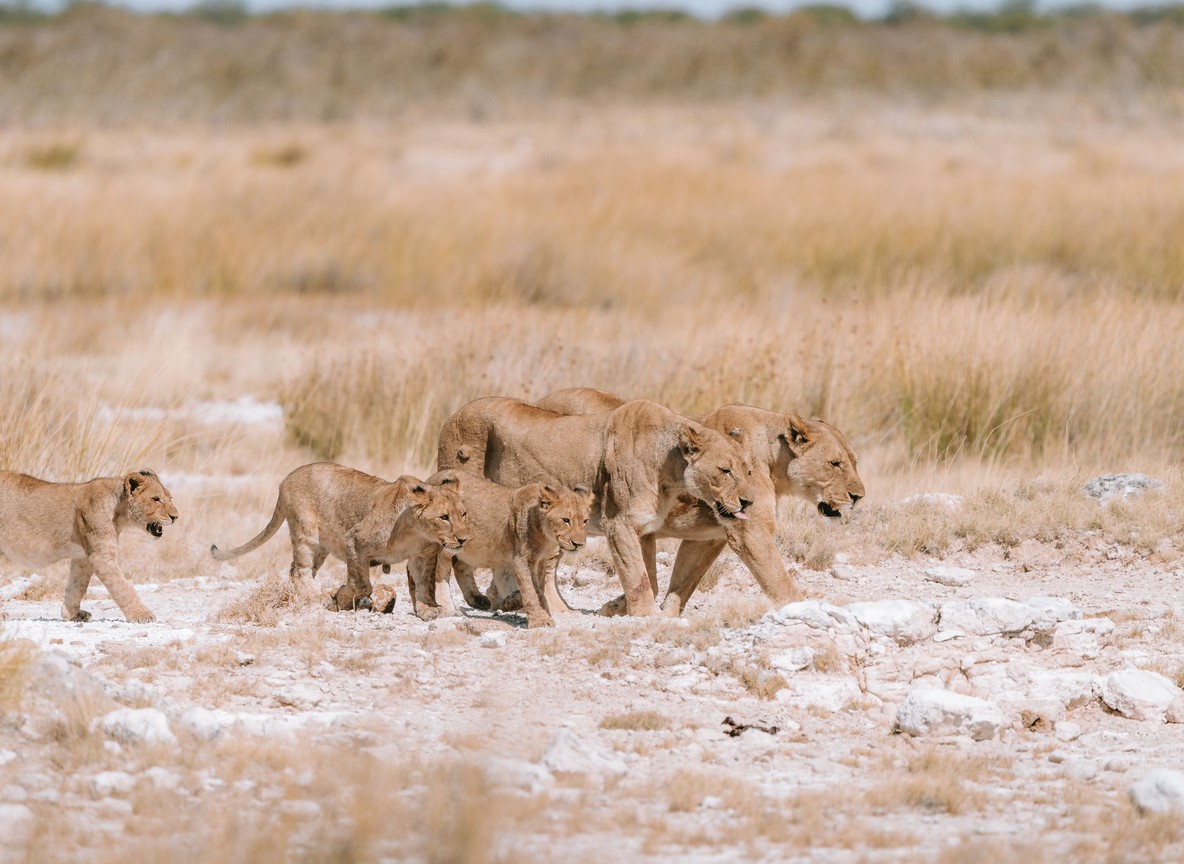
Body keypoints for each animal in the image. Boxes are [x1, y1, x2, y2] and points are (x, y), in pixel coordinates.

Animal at [0, 469, 178, 623]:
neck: (119, 511)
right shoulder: (101, 557)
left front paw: (71, 614)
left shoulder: (82, 558)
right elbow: (122, 587)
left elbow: (77, 586)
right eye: (156, 499)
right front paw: (142, 614)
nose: (175, 517)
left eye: (170, 498)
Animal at [210, 462, 468, 612]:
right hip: (306, 531)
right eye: (444, 517)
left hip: (321, 546)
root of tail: (285, 480)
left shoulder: (423, 556)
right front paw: (340, 599)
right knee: (299, 570)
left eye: (463, 514)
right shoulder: (355, 540)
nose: (464, 539)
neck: (415, 531)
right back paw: (318, 597)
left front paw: (429, 609)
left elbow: (425, 584)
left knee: (297, 571)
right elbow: (361, 583)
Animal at [406, 472, 594, 628]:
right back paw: (446, 608)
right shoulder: (522, 559)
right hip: (448, 544)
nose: (578, 544)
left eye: (585, 521)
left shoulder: (539, 562)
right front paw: (541, 620)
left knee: (461, 567)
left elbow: (536, 589)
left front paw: (510, 602)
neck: (546, 537)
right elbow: (532, 591)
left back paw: (478, 600)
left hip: (472, 547)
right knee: (437, 574)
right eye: (566, 520)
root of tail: (429, 480)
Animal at [437, 397, 760, 616]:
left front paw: (616, 606)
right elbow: (639, 580)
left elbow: (647, 579)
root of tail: (452, 416)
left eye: (748, 471)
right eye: (725, 470)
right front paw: (647, 617)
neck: (670, 471)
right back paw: (451, 605)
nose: (749, 501)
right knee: (446, 556)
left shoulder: (642, 528)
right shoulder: (618, 523)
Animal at [535, 388, 865, 615]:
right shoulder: (750, 532)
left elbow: (682, 583)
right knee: (547, 566)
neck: (773, 462)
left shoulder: (708, 538)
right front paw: (805, 610)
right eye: (835, 464)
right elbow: (779, 581)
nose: (858, 496)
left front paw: (652, 613)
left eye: (854, 462)